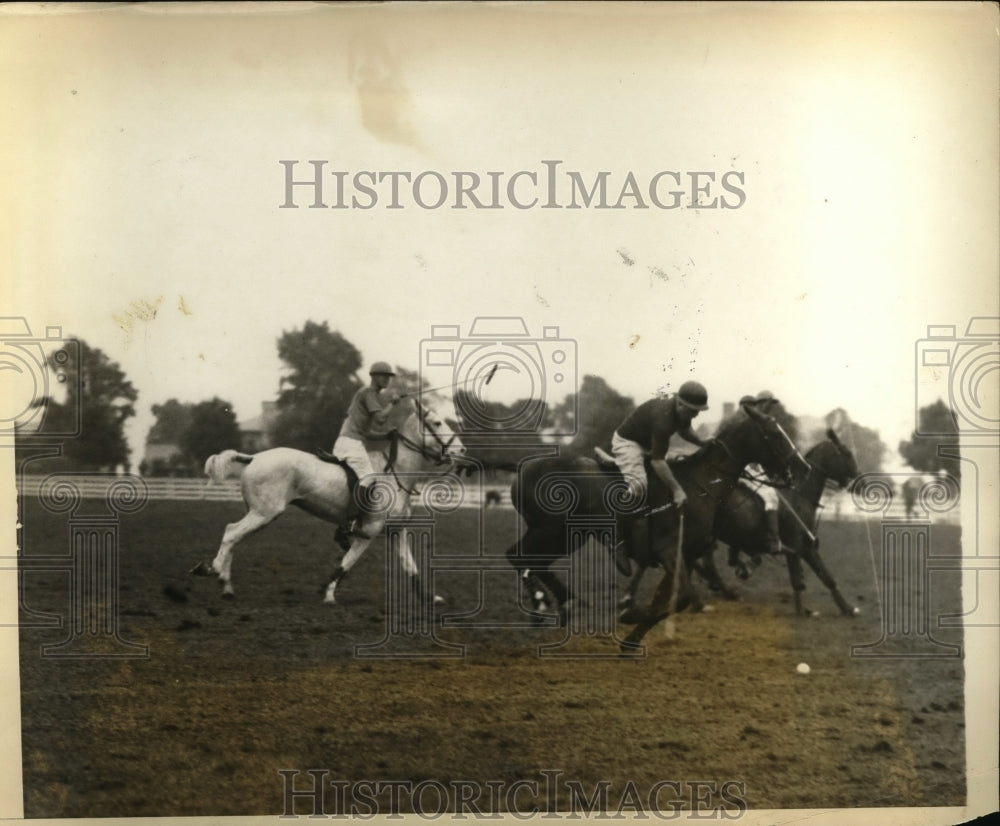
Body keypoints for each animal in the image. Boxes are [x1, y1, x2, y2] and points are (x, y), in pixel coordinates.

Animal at [195, 400, 464, 600]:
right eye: (437, 422)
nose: (461, 451)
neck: (397, 474)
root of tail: (253, 457)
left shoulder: (397, 530)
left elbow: (411, 566)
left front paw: (430, 598)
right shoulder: (368, 531)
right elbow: (346, 563)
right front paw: (329, 594)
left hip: (259, 512)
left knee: (234, 537)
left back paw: (226, 586)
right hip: (265, 512)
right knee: (231, 532)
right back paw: (214, 570)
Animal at [632, 428, 860, 616]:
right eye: (847, 454)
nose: (858, 480)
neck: (800, 495)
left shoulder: (796, 549)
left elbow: (805, 578)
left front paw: (811, 609)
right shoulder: (801, 547)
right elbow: (822, 578)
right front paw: (844, 609)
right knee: (687, 560)